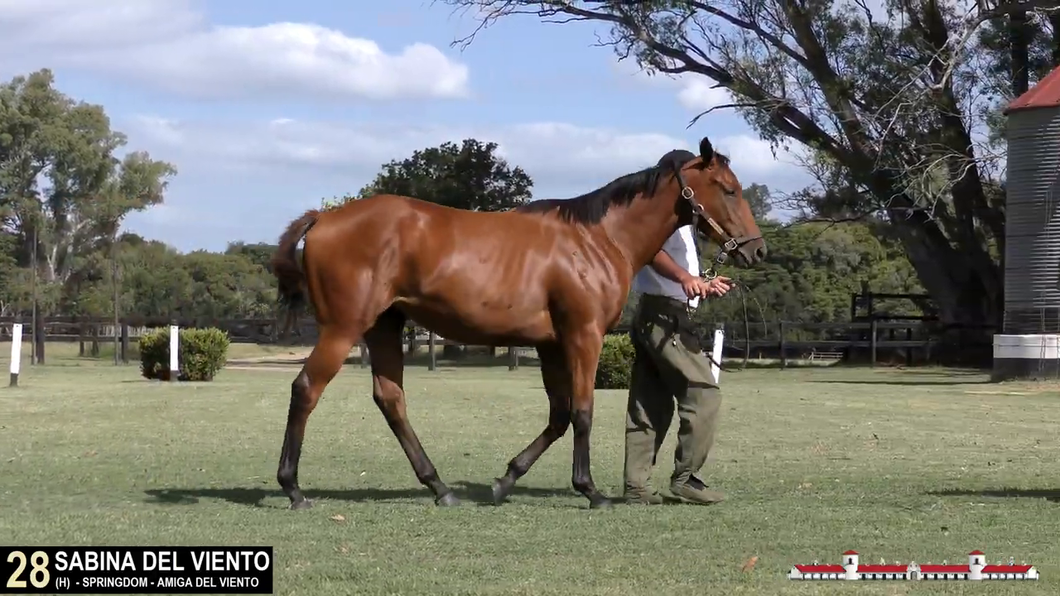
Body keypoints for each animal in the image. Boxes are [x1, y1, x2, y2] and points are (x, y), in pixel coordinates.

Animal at [269, 134, 767, 504]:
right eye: (729, 189)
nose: (757, 249)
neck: (596, 238)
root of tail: (325, 217)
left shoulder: (550, 344)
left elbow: (560, 415)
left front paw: (504, 480)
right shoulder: (583, 337)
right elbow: (582, 411)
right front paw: (590, 491)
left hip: (384, 328)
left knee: (391, 400)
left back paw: (440, 487)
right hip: (343, 329)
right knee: (306, 390)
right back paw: (293, 488)